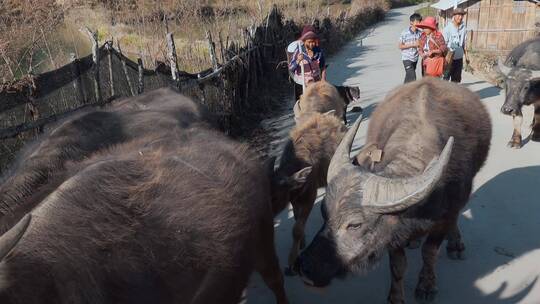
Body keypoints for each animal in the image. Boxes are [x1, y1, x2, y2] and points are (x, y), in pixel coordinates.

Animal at [274, 111, 346, 274]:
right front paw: (303, 242)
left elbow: (297, 229)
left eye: (274, 195)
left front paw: (292, 260)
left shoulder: (309, 197)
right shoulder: (295, 200)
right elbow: (296, 219)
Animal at [298, 77, 492, 302]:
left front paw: (426, 286)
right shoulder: (392, 234)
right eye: (324, 212)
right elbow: (398, 265)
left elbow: (430, 252)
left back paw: (455, 244)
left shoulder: (444, 219)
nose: (304, 268)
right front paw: (396, 296)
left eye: (355, 225)